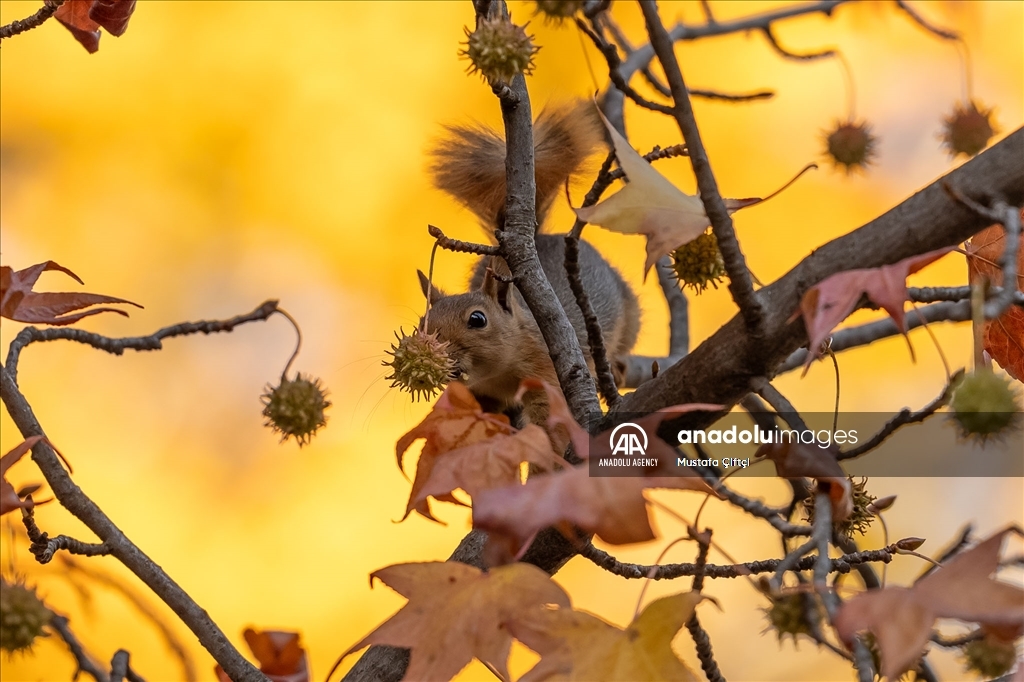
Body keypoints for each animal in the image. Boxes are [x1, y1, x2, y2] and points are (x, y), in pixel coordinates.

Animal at [417, 100, 638, 430]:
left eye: (478, 319)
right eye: (422, 323)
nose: (437, 352)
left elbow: (547, 419)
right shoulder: (483, 394)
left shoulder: (545, 373)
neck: (497, 375)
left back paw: (617, 364)